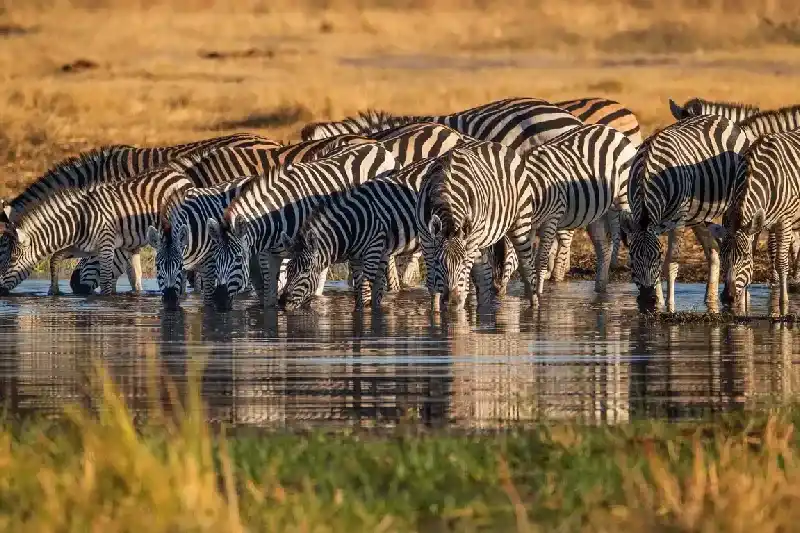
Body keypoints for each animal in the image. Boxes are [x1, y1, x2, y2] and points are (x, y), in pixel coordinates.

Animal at [0, 158, 196, 294]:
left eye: (11, 259)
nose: (1, 292)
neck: (77, 222)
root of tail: (179, 175)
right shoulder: (83, 248)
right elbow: (55, 258)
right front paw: (54, 291)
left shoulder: (106, 246)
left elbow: (106, 283)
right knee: (136, 277)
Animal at [208, 142, 401, 311]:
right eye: (215, 259)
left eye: (239, 259)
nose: (218, 300)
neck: (274, 221)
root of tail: (376, 146)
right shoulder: (269, 257)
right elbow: (270, 300)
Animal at [418, 125, 634, 311]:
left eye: (503, 257)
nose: (498, 289)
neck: (535, 187)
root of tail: (611, 130)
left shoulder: (551, 218)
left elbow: (539, 261)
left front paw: (539, 293)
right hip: (598, 213)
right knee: (603, 247)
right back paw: (600, 290)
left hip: (623, 197)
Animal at [619, 115, 751, 313]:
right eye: (632, 258)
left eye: (657, 257)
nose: (647, 300)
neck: (647, 174)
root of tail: (724, 119)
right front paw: (658, 302)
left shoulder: (678, 221)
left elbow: (671, 265)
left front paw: (669, 306)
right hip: (700, 216)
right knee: (713, 251)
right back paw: (710, 300)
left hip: (731, 203)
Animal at [708, 128, 800, 316]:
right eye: (721, 257)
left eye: (744, 256)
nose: (728, 297)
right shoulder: (756, 226)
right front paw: (743, 305)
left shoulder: (784, 222)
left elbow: (781, 263)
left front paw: (783, 304)